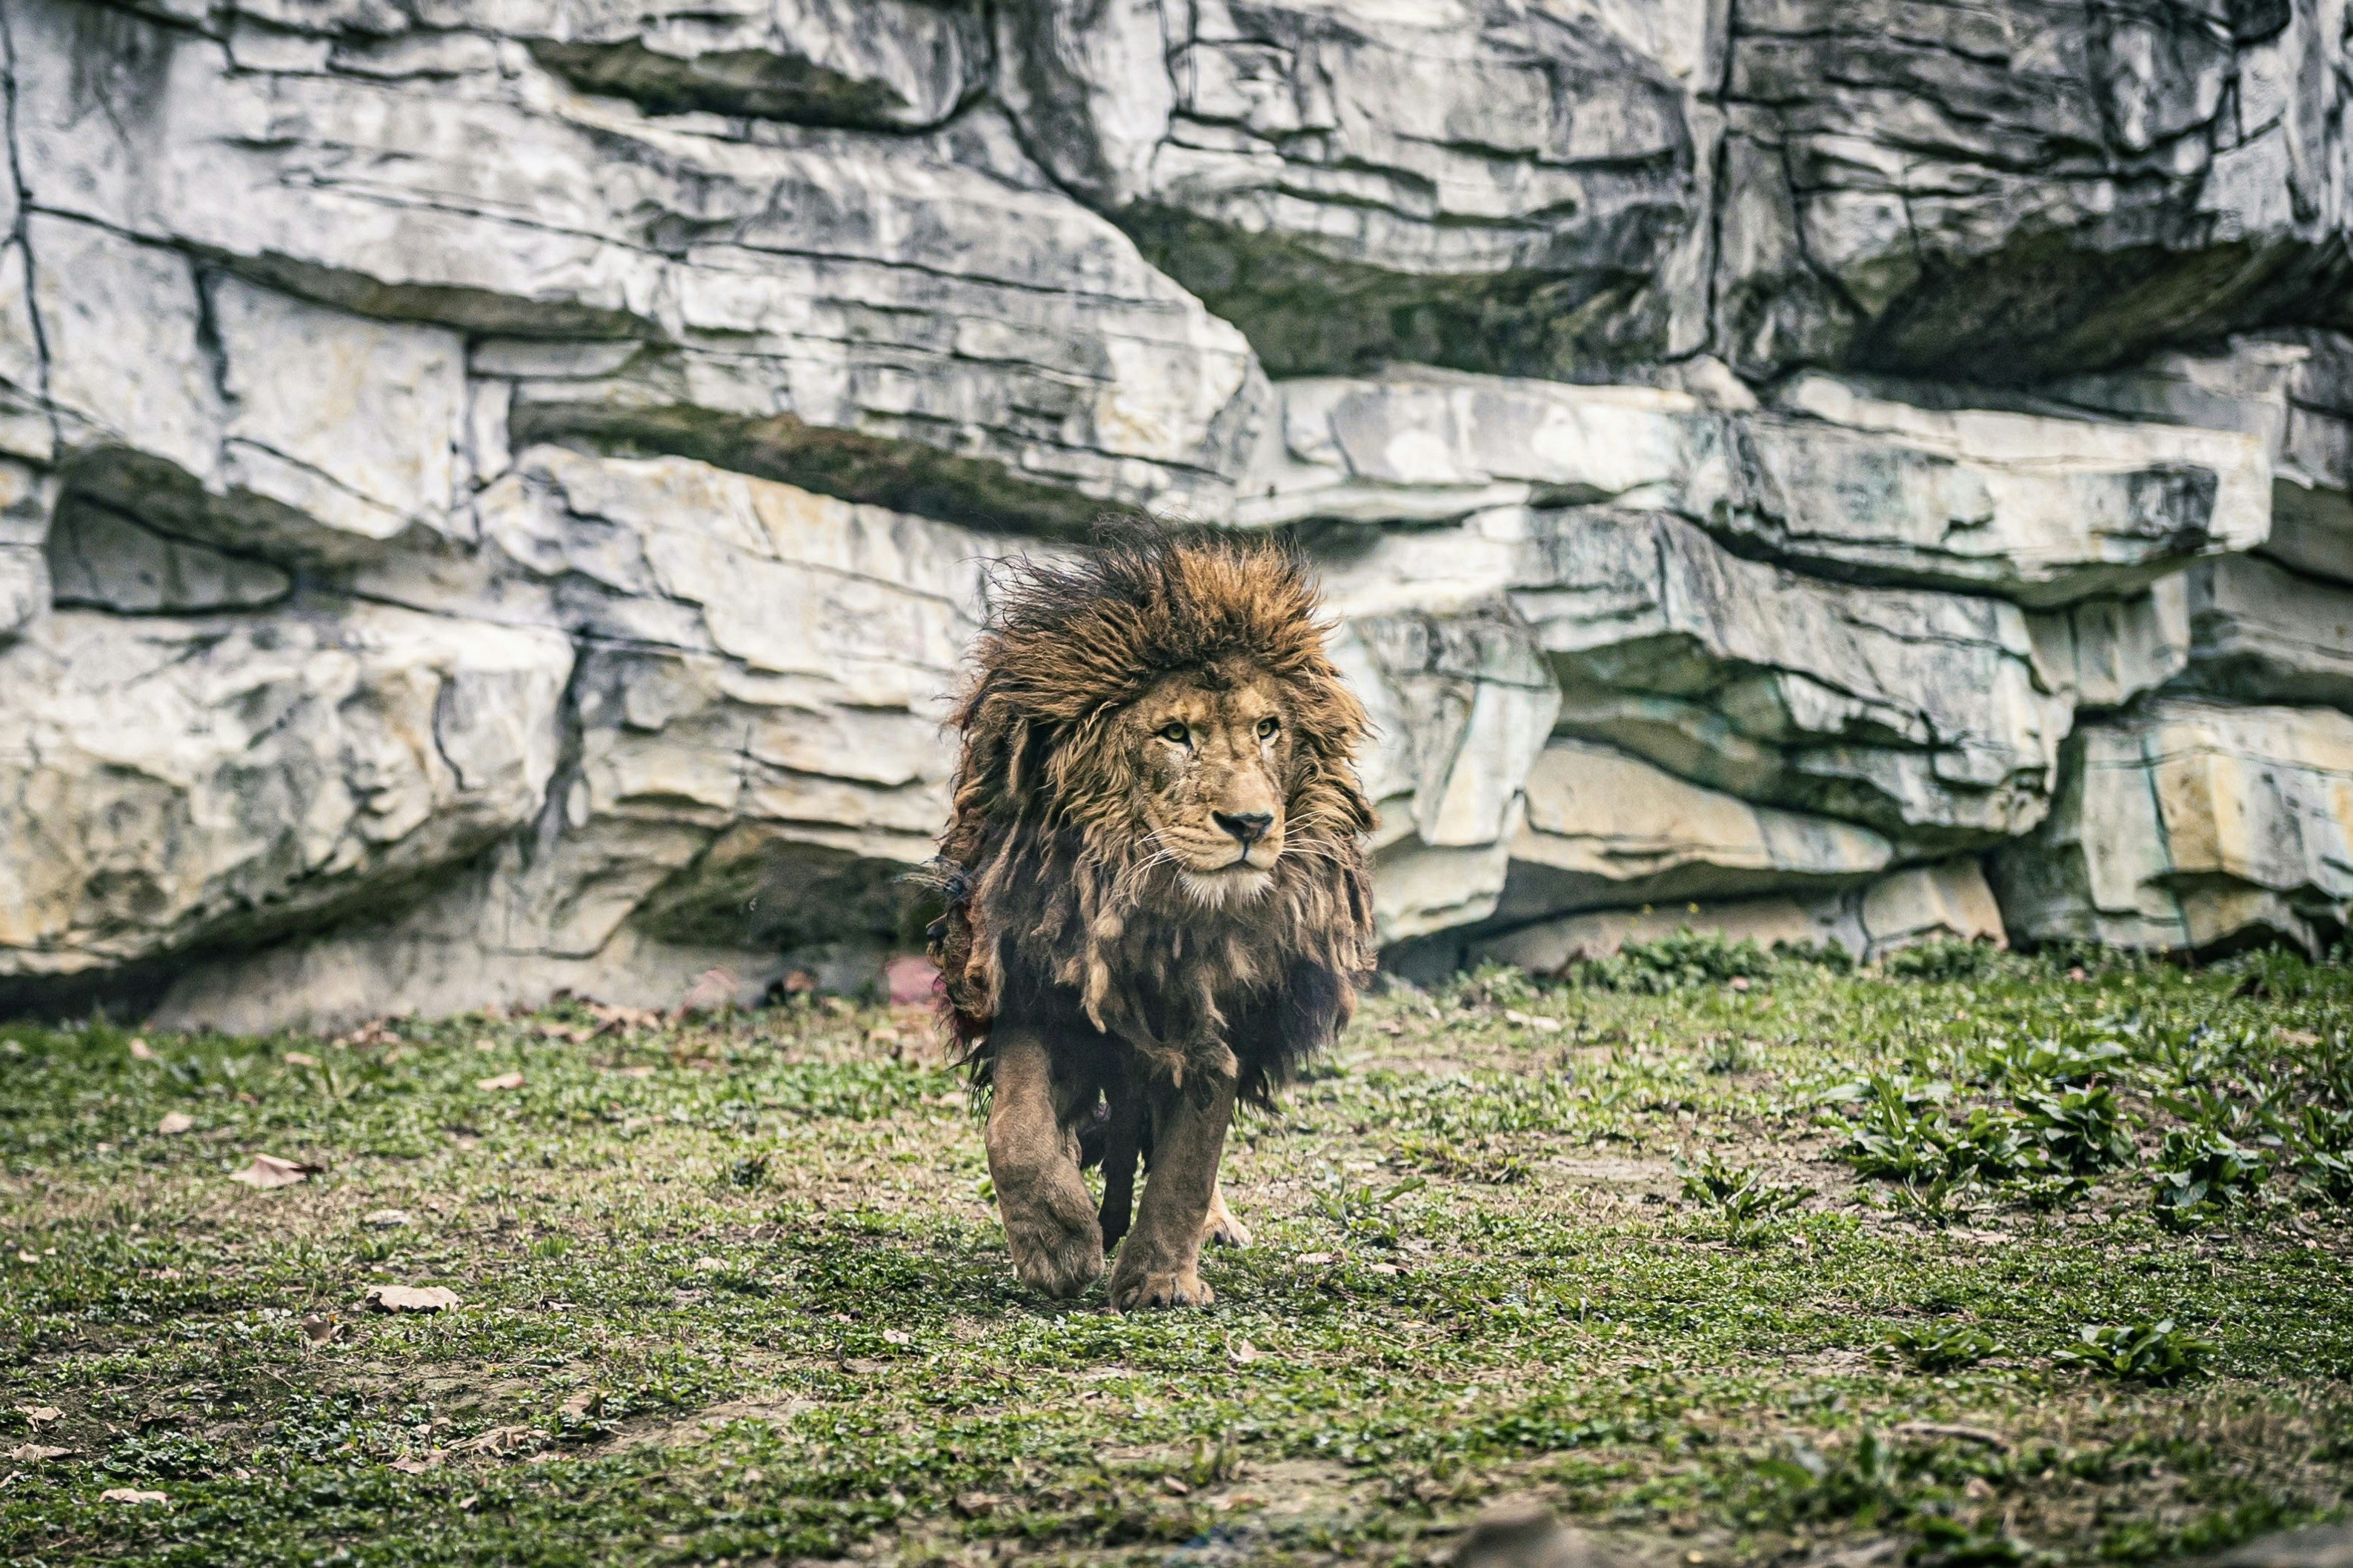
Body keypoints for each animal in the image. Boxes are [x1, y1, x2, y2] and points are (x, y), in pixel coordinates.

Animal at [927, 529, 1376, 1310]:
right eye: (1174, 734)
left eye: (1268, 729)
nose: (1252, 824)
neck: (1149, 902)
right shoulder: (1036, 984)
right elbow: (1016, 1128)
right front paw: (1055, 1243)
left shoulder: (1213, 1018)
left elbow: (1190, 1156)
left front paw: (1162, 1277)